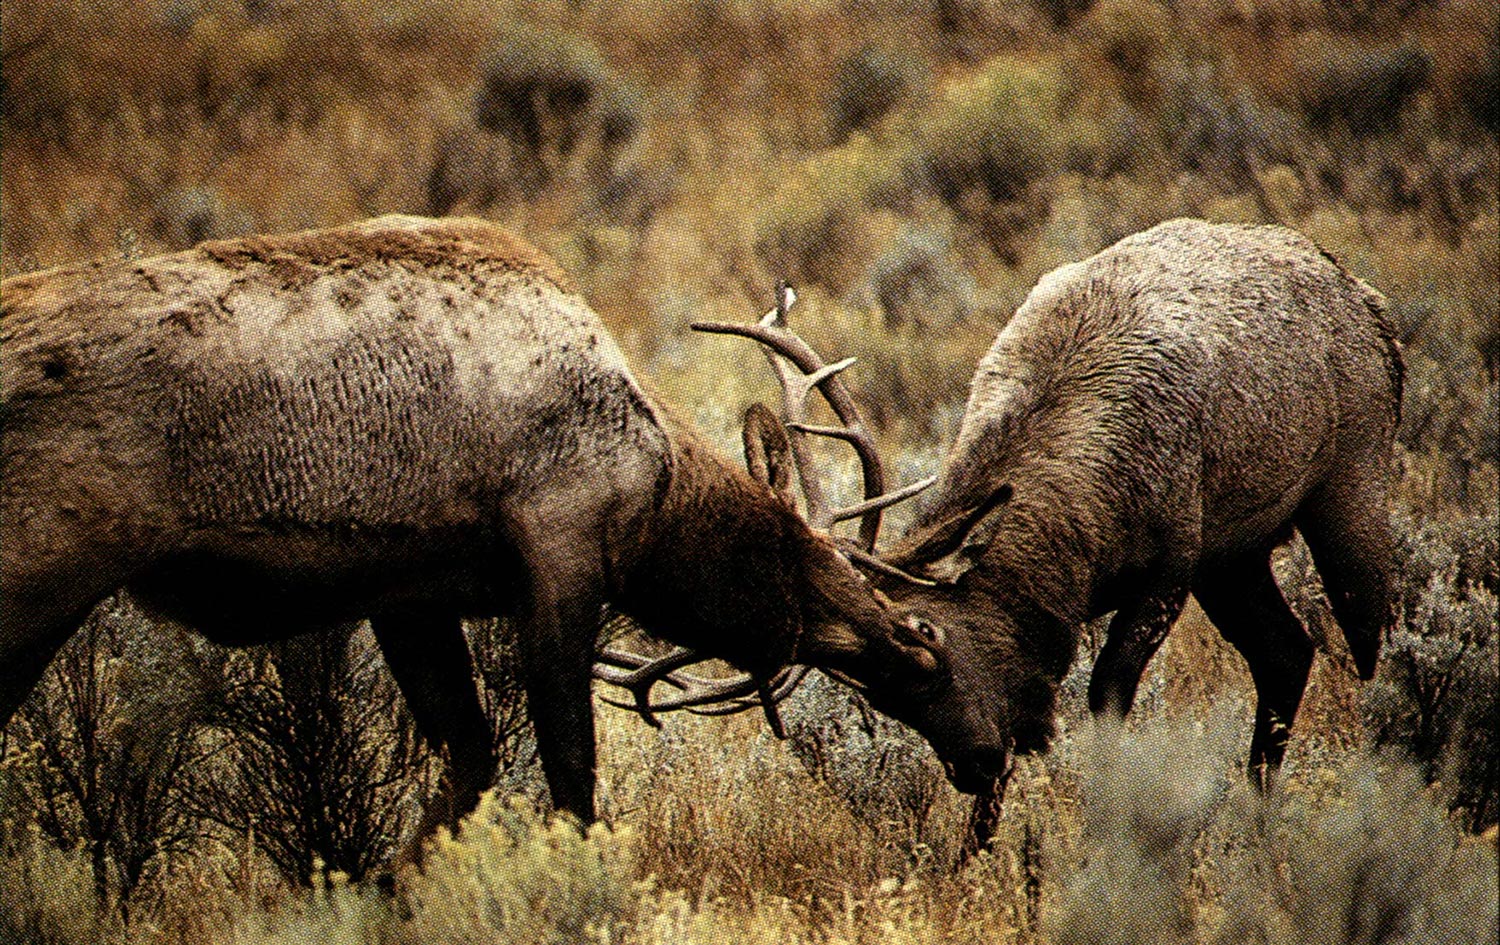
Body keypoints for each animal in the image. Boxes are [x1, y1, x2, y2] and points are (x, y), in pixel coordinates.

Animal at [0, 214, 936, 852]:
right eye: (800, 548)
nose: (914, 636)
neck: (656, 480)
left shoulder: (409, 594)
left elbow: (468, 769)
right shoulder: (559, 554)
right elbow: (570, 778)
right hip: (38, 573)